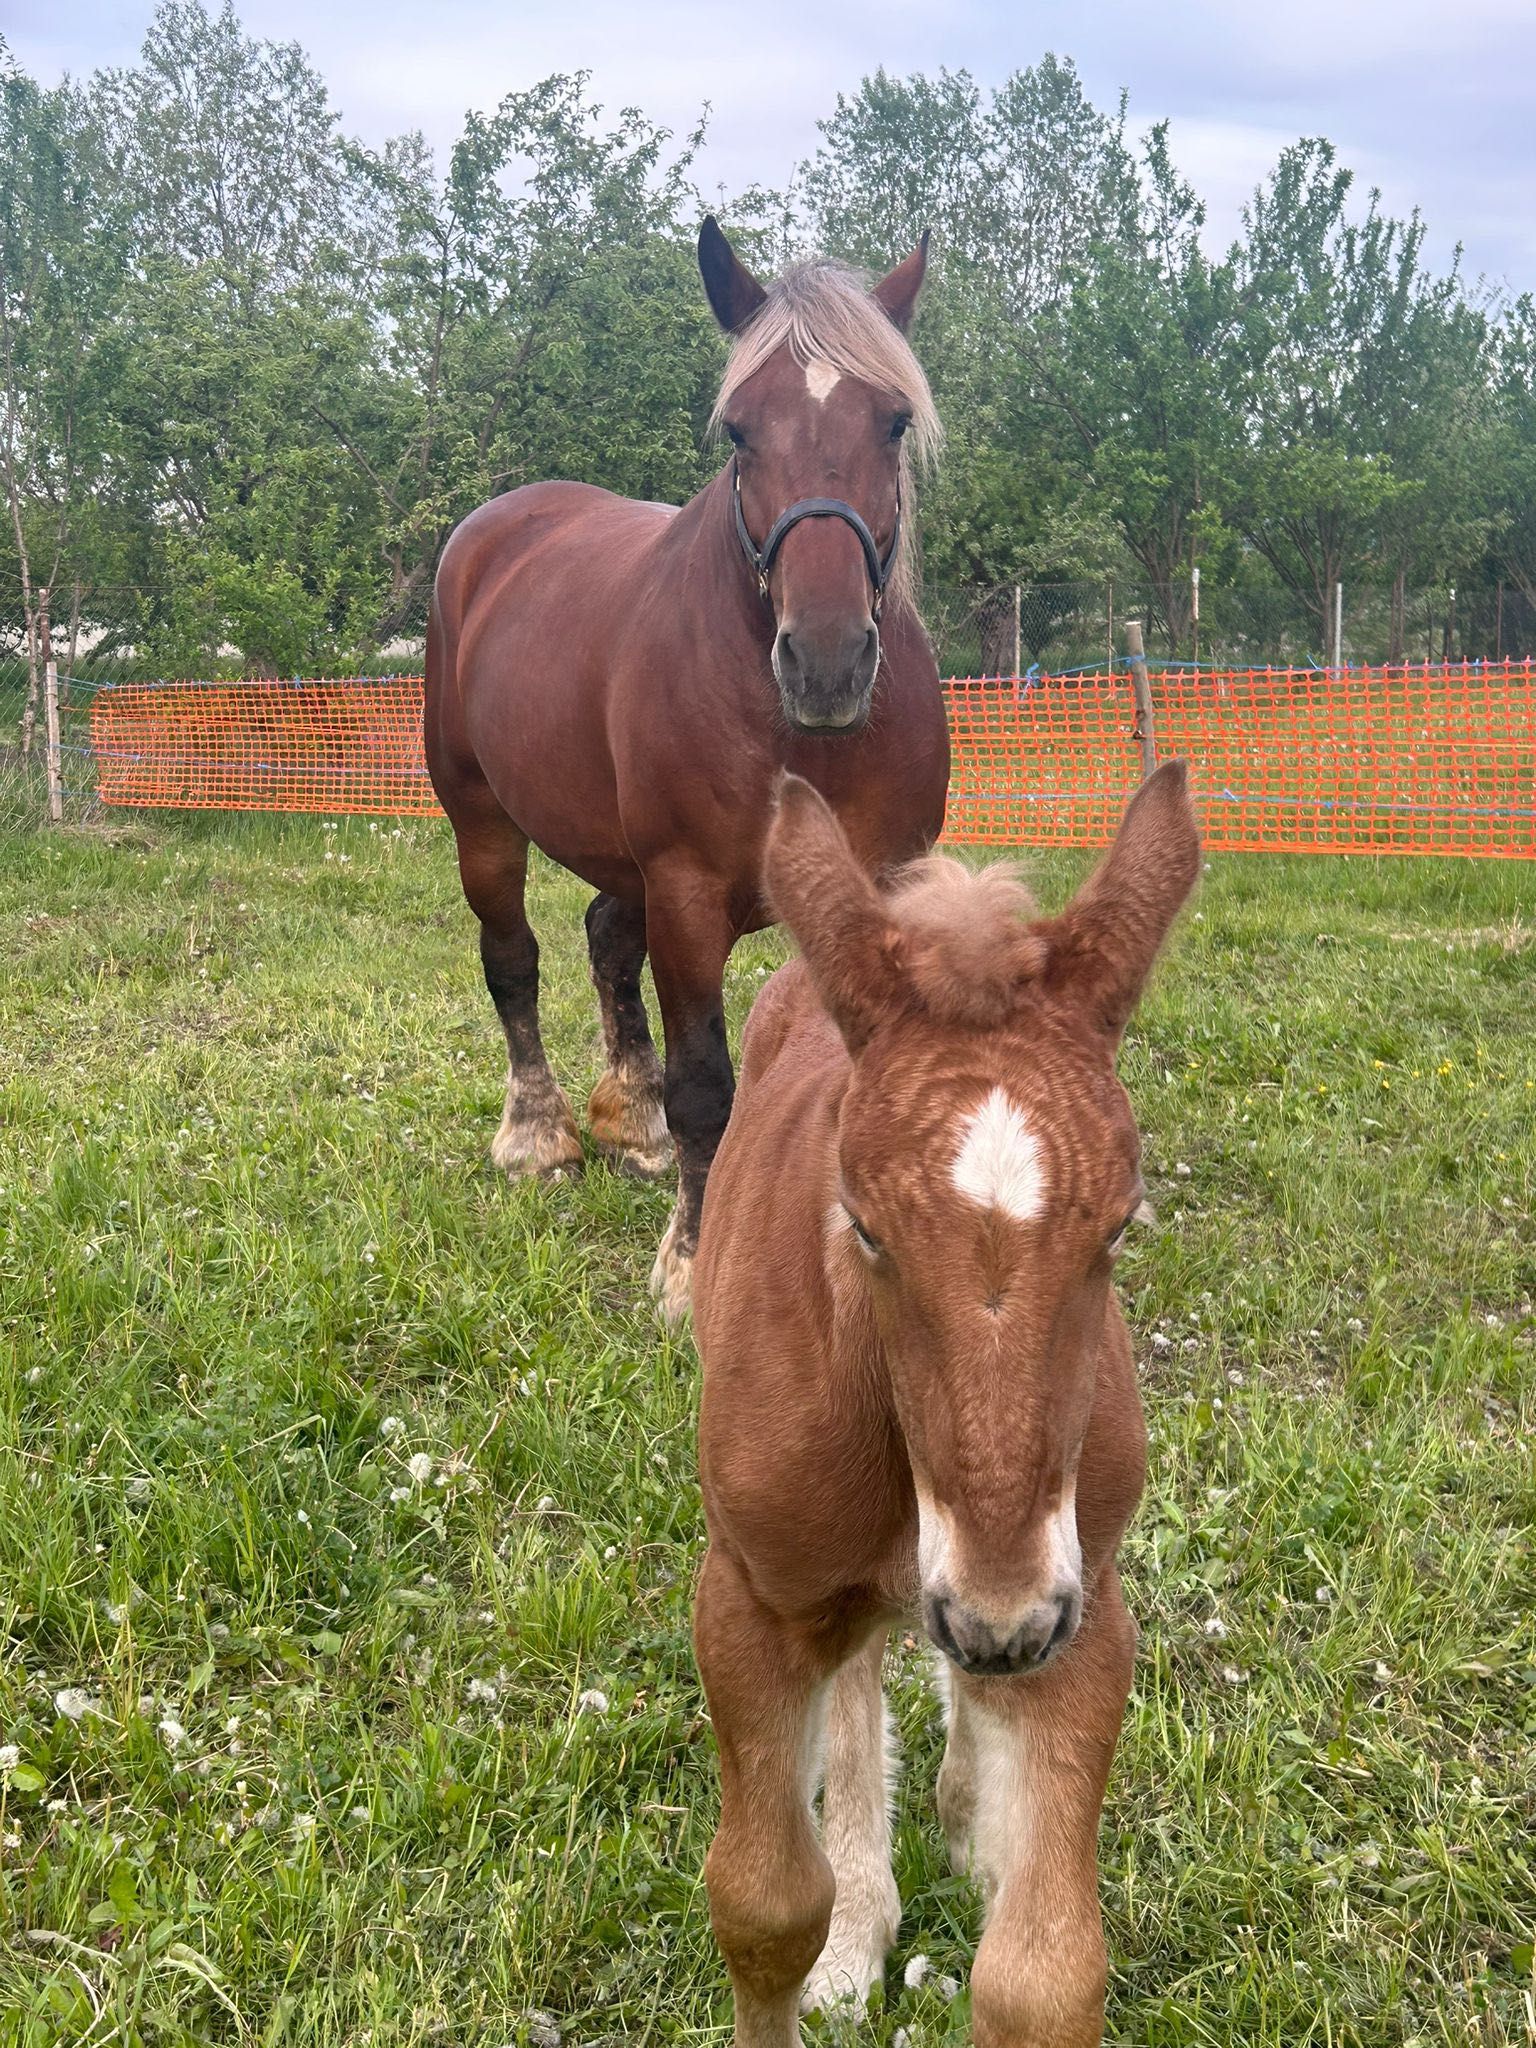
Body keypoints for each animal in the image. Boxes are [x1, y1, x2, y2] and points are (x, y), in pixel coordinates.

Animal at [692, 761, 1212, 2039]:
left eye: (1119, 1224)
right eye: (864, 1224)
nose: (1000, 1617)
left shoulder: (1087, 1609)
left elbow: (1046, 1974)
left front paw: (985, 1818)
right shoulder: (749, 1597)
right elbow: (764, 1907)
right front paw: (835, 1933)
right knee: (863, 1666)